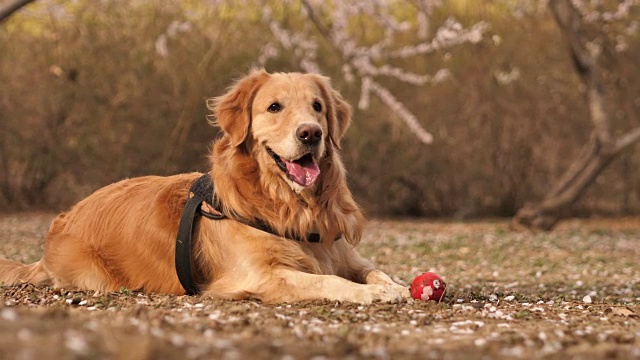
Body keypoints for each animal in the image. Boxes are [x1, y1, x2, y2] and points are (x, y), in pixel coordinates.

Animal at [0, 70, 410, 304]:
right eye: (274, 107)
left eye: (318, 107)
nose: (311, 133)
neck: (294, 206)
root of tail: (61, 221)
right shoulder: (263, 275)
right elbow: (328, 281)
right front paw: (374, 293)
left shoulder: (347, 256)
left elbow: (375, 271)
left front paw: (397, 285)